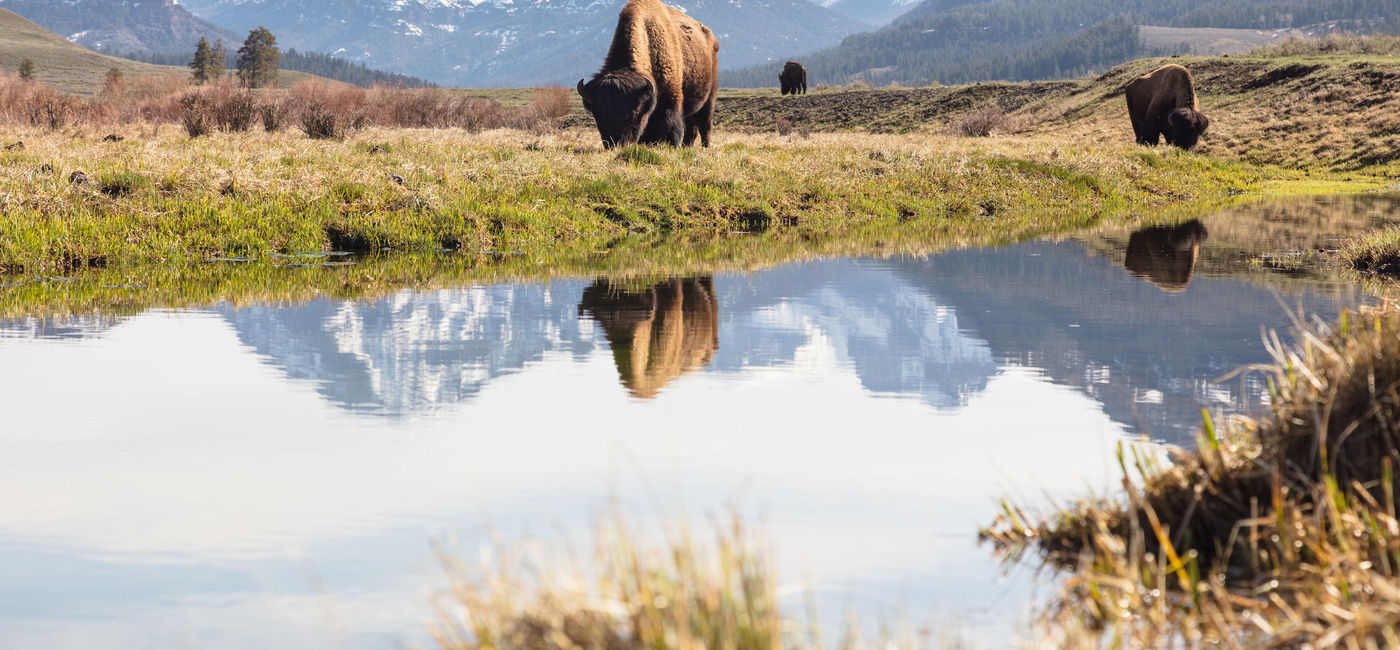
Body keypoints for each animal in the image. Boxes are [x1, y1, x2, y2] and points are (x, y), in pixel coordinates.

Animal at [574, 0, 716, 147]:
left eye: (635, 112)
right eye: (597, 115)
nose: (617, 144)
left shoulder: (671, 101)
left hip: (710, 98)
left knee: (705, 126)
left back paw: (705, 146)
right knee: (692, 128)